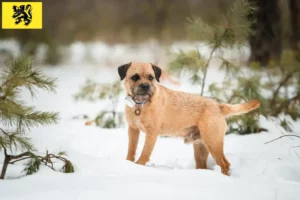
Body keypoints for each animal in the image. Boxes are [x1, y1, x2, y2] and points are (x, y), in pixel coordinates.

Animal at [118, 62, 260, 175]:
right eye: (135, 77)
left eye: (150, 77)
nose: (145, 86)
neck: (140, 105)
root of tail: (218, 106)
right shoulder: (133, 130)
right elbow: (131, 149)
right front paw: (128, 163)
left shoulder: (151, 133)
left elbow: (145, 151)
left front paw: (139, 165)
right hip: (200, 148)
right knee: (204, 166)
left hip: (213, 143)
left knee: (225, 164)